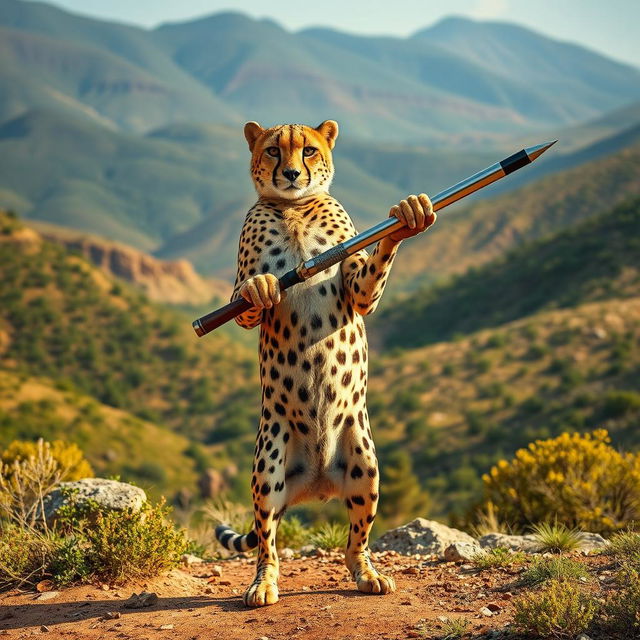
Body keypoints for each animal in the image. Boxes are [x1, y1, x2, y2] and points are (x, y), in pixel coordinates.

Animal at [215, 119, 436, 604]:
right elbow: (246, 295)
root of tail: (315, 486)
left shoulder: (357, 287)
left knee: (356, 541)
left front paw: (406, 218)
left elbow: (370, 277)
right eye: (274, 150)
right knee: (267, 543)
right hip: (268, 470)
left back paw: (368, 574)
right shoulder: (241, 294)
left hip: (365, 465)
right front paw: (260, 288)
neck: (295, 209)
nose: (292, 174)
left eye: (309, 151)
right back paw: (263, 584)